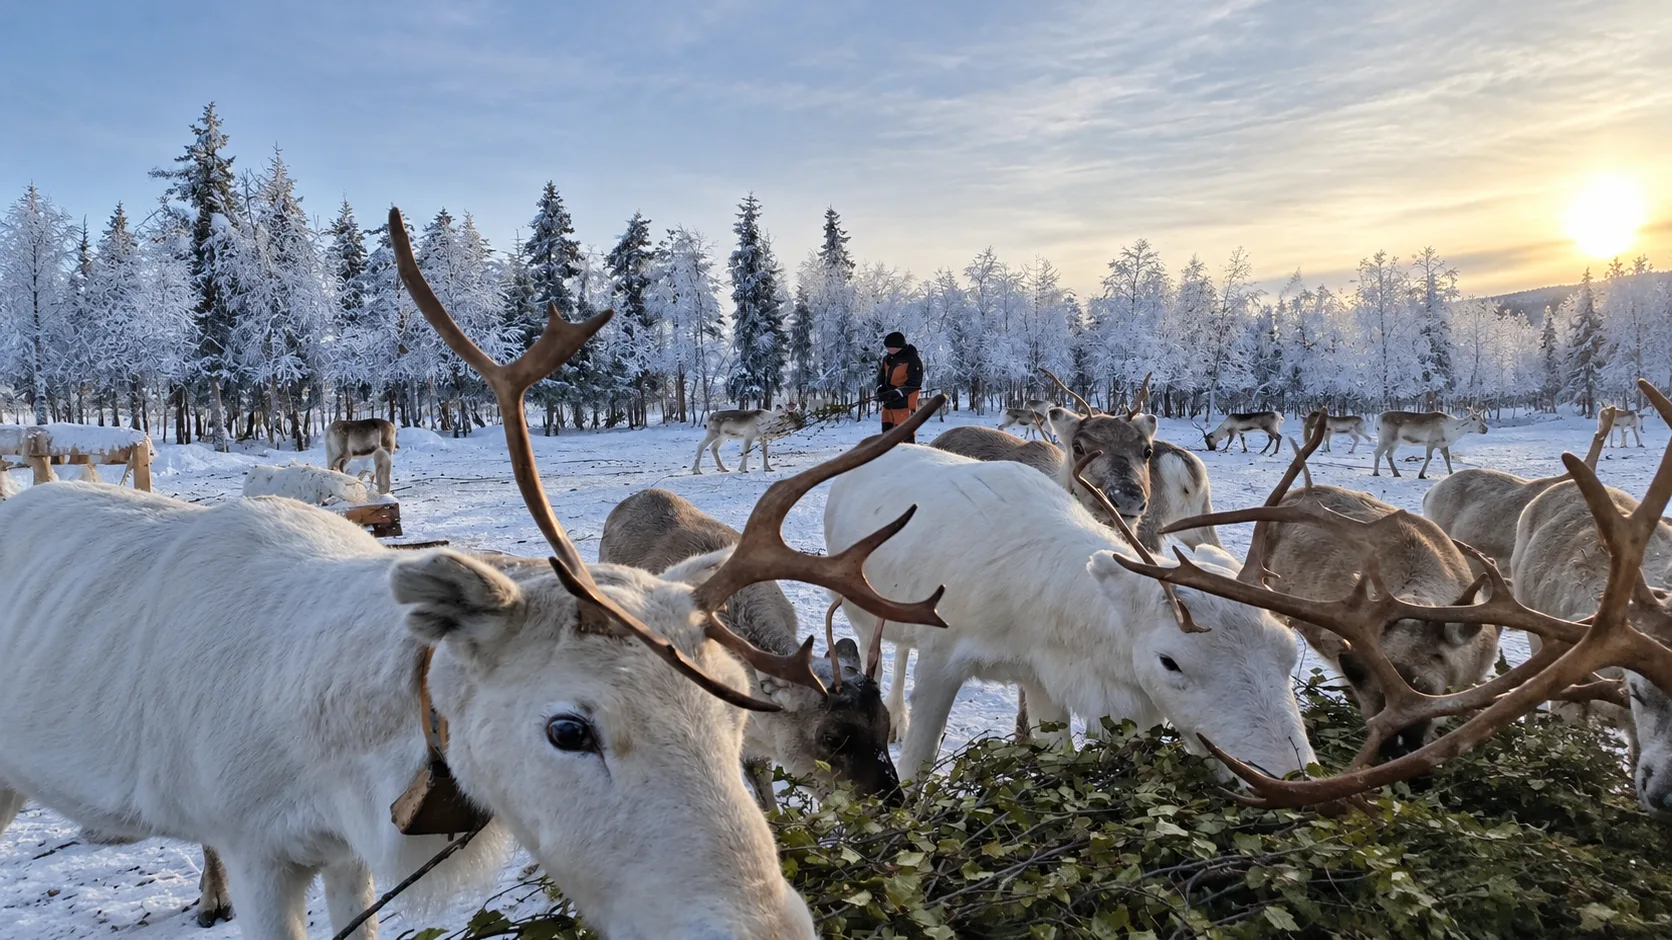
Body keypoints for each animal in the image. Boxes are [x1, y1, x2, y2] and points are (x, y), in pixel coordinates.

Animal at [823, 441, 1316, 784]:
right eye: (1170, 661)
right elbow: (916, 771)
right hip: (863, 607)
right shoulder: (942, 655)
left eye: (1289, 650)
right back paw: (894, 717)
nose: (1289, 775)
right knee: (885, 647)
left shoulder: (1041, 676)